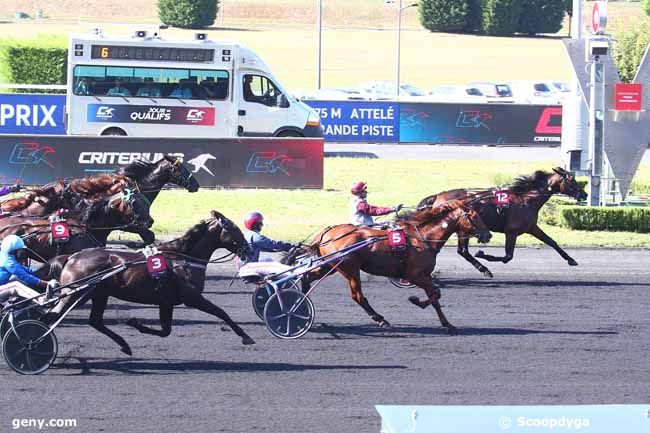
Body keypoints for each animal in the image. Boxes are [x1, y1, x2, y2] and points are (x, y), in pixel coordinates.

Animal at [54, 211, 252, 356]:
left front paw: (135, 323)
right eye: (233, 228)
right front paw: (246, 336)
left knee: (95, 321)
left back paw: (124, 345)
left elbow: (165, 331)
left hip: (99, 294)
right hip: (75, 294)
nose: (248, 248)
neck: (182, 258)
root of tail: (72, 257)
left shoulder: (166, 302)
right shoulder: (193, 298)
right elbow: (221, 312)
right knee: (55, 314)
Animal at [306, 200, 488, 334]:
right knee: (357, 296)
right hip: (349, 269)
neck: (423, 237)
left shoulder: (425, 275)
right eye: (474, 217)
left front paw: (448, 324)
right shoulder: (414, 275)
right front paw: (416, 301)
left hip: (330, 266)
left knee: (308, 276)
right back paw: (380, 319)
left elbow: (435, 298)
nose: (488, 235)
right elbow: (436, 292)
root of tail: (327, 233)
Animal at [416, 166, 588, 276]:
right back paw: (484, 268)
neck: (525, 199)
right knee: (462, 251)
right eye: (571, 179)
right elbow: (507, 257)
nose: (584, 194)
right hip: (462, 228)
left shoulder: (531, 227)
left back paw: (483, 269)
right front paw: (483, 253)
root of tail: (437, 197)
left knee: (462, 251)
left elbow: (551, 241)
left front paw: (571, 260)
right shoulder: (511, 232)